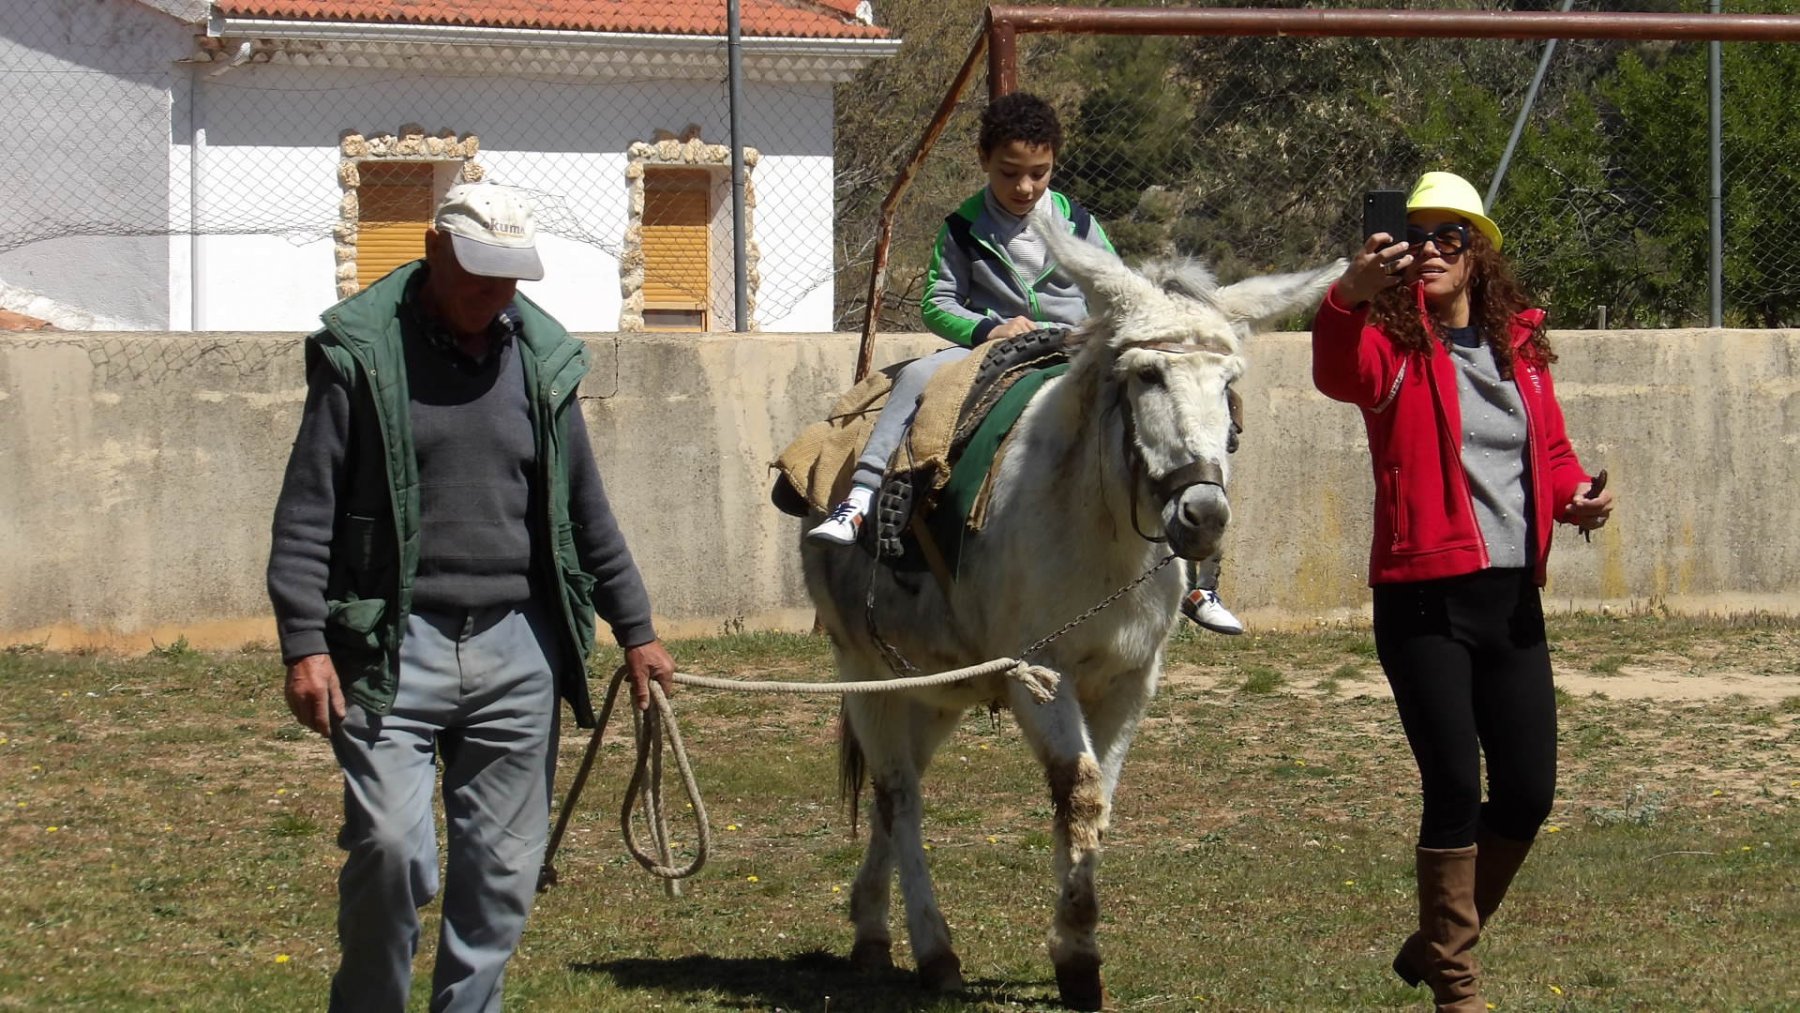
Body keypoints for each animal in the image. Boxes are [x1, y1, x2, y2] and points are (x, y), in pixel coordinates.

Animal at [801, 206, 1341, 1010]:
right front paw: (1079, 959)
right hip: (864, 669)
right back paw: (932, 951)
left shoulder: (1127, 683)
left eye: (1229, 383)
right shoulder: (1039, 674)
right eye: (1147, 374)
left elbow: (1100, 801)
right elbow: (1079, 792)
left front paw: (1077, 950)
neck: (1100, 529)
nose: (1204, 515)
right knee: (900, 796)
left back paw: (871, 931)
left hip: (935, 690)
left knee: (893, 796)